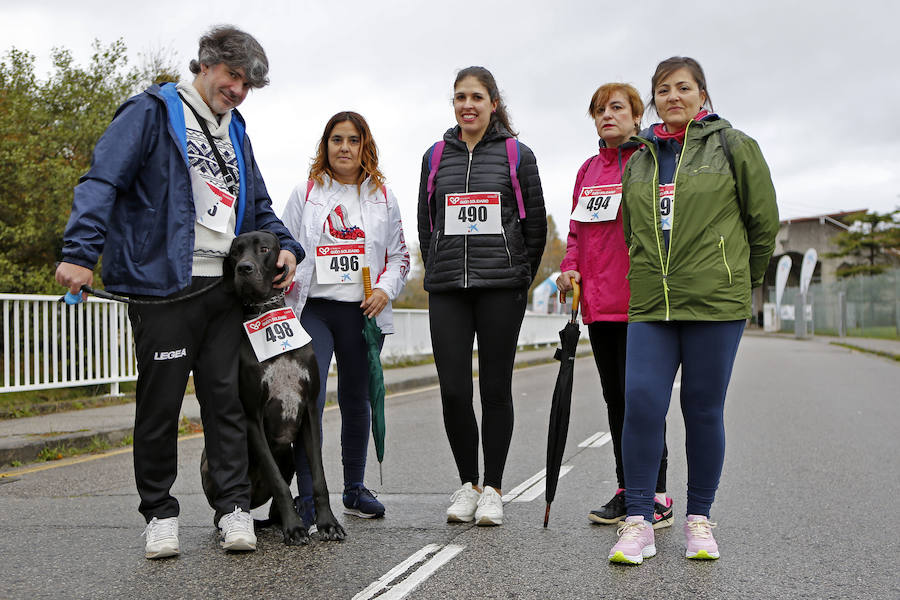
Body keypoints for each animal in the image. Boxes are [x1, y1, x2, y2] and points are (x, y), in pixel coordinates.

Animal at [200, 229, 344, 544]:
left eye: (264, 249)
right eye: (234, 253)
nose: (244, 268)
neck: (266, 310)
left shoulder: (309, 410)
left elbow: (318, 476)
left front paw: (327, 523)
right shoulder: (252, 417)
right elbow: (278, 483)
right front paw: (294, 527)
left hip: (287, 454)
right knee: (222, 511)